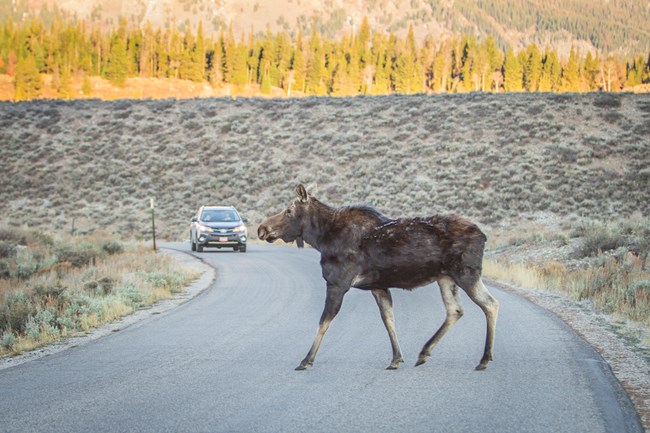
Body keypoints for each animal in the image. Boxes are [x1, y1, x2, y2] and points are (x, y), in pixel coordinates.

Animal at [256, 184, 498, 370]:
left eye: (288, 210)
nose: (261, 229)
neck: (321, 238)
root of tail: (484, 235)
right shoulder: (378, 286)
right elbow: (388, 319)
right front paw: (396, 359)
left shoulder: (337, 283)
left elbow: (324, 321)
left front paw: (306, 360)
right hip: (445, 277)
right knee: (455, 310)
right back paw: (424, 352)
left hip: (465, 272)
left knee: (490, 304)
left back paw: (484, 359)